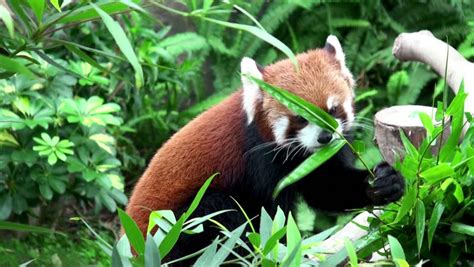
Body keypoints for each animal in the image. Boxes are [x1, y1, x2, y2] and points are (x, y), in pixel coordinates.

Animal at [125, 35, 404, 260]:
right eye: (301, 118)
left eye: (333, 109)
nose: (325, 137)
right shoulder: (259, 160)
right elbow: (269, 217)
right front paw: (282, 251)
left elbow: (327, 186)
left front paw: (383, 182)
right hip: (171, 231)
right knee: (217, 210)